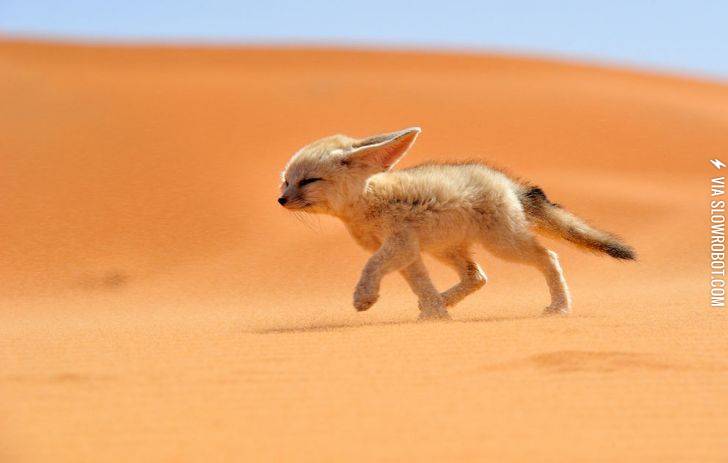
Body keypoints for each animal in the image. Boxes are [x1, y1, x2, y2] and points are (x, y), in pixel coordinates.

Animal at [278, 127, 635, 320]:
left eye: (308, 181)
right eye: (286, 181)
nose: (280, 200)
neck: (367, 201)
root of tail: (507, 182)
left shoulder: (398, 244)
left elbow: (371, 266)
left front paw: (364, 297)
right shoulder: (408, 252)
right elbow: (420, 284)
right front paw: (436, 313)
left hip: (503, 245)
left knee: (549, 257)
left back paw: (560, 306)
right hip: (446, 249)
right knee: (477, 276)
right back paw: (444, 301)